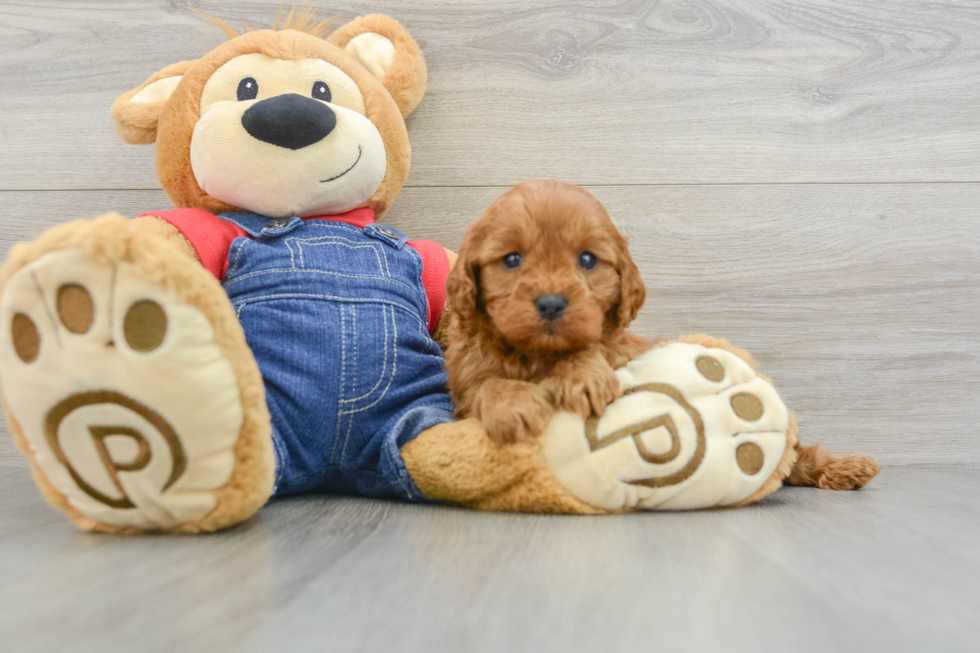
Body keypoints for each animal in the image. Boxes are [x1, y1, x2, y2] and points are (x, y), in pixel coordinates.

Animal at [446, 180, 660, 444]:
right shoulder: (464, 385)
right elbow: (484, 385)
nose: (551, 304)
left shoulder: (619, 350)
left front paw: (584, 375)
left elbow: (594, 347)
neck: (536, 354)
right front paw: (511, 401)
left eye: (587, 259)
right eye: (512, 259)